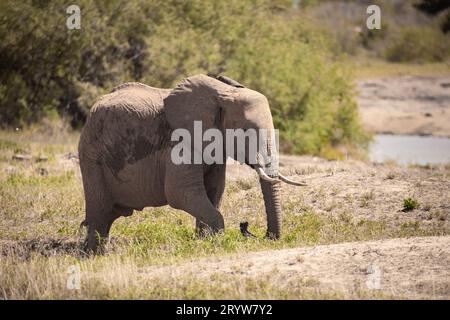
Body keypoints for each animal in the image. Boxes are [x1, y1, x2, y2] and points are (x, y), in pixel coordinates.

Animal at [78, 74, 306, 254]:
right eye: (244, 131)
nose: (248, 228)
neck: (223, 93)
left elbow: (214, 190)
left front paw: (204, 241)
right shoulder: (180, 142)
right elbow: (180, 192)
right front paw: (215, 243)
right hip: (91, 156)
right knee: (99, 213)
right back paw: (94, 255)